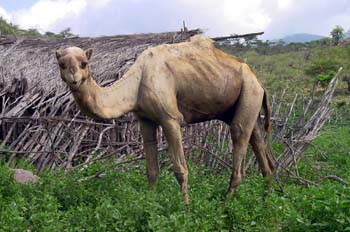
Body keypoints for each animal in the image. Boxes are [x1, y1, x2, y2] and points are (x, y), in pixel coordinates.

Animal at [56, 35, 274, 204]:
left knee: (239, 143)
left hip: (249, 92)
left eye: (84, 63)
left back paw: (224, 207)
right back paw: (266, 206)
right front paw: (150, 204)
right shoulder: (145, 120)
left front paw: (186, 209)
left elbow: (180, 170)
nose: (74, 80)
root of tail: (260, 82)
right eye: (62, 64)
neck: (137, 82)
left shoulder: (170, 119)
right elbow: (152, 170)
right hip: (246, 106)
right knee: (264, 158)